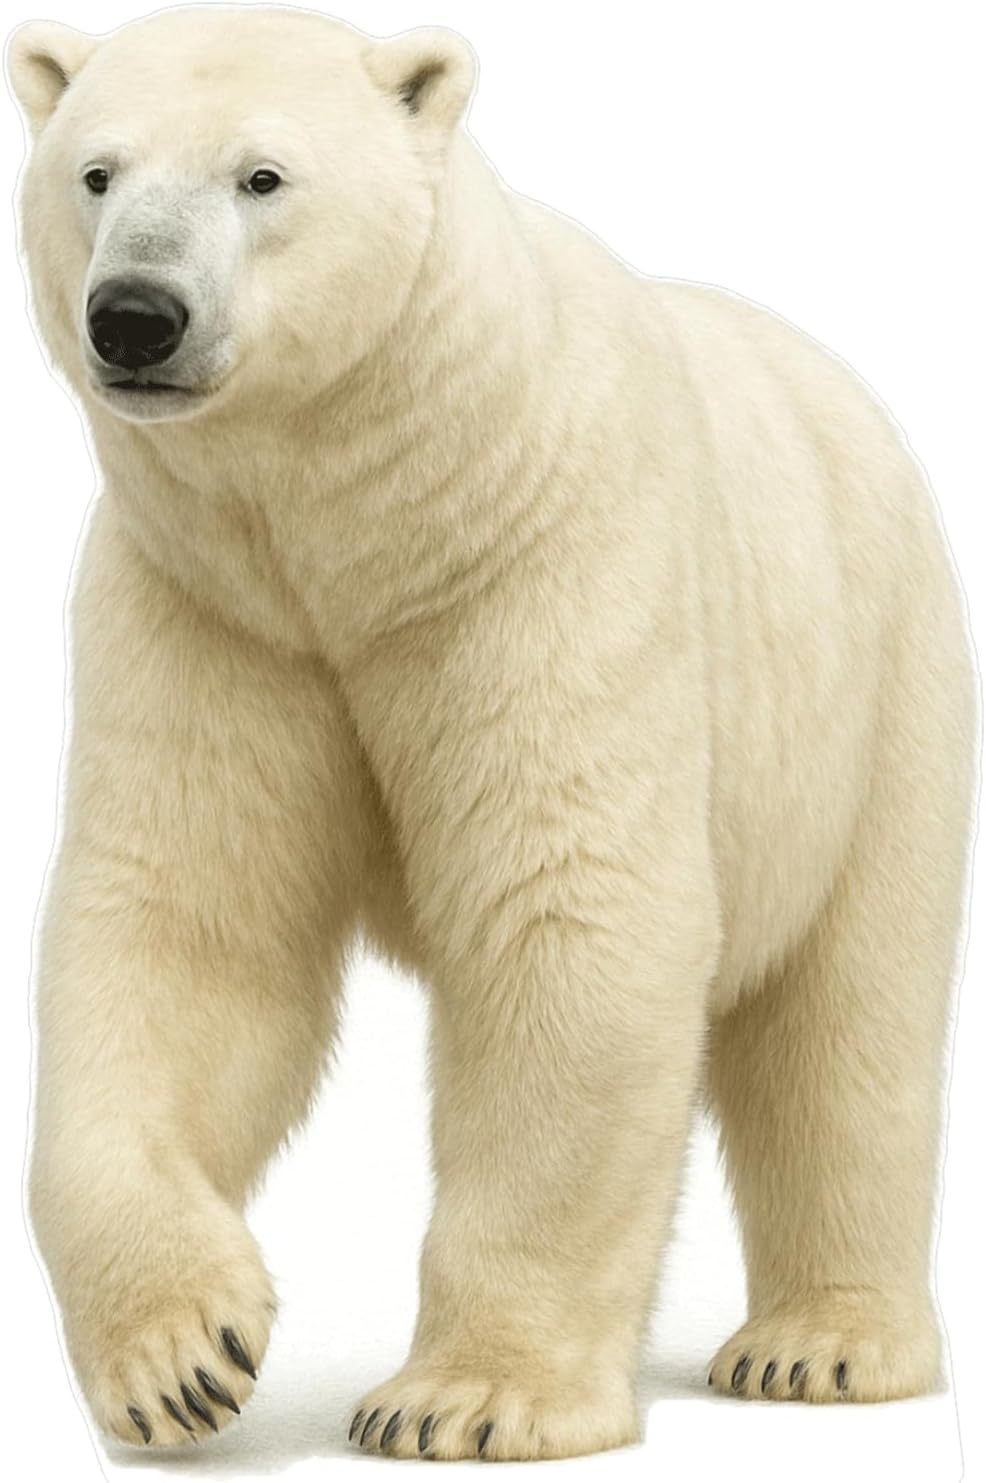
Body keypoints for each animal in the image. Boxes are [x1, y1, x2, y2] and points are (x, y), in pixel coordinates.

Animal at [6, 1, 979, 1463]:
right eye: (96, 172)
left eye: (262, 176)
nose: (134, 314)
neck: (365, 526)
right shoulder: (214, 608)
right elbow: (190, 931)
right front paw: (182, 1355)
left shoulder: (541, 555)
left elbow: (568, 911)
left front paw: (461, 1398)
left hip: (874, 685)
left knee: (848, 1018)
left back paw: (818, 1344)